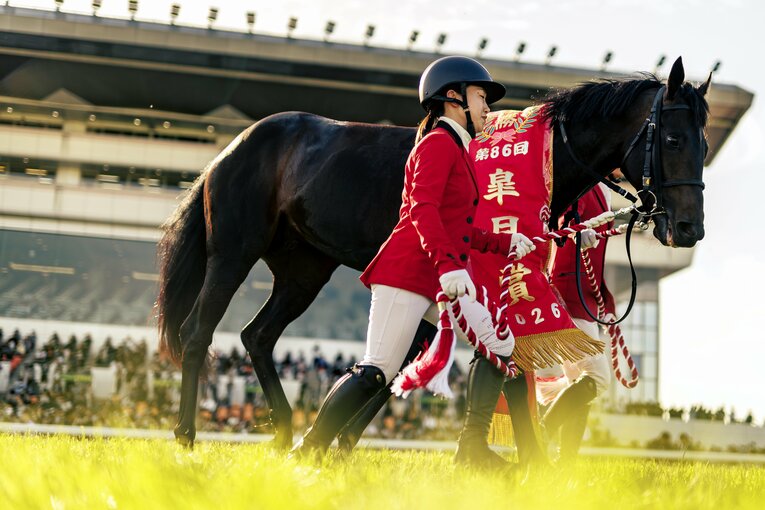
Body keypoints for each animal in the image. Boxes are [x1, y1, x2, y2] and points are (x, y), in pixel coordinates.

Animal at [156, 57, 710, 448]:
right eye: (673, 139)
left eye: (704, 145)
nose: (688, 229)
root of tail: (233, 146)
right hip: (233, 254)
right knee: (198, 331)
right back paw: (187, 436)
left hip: (303, 271)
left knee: (258, 335)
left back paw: (288, 431)